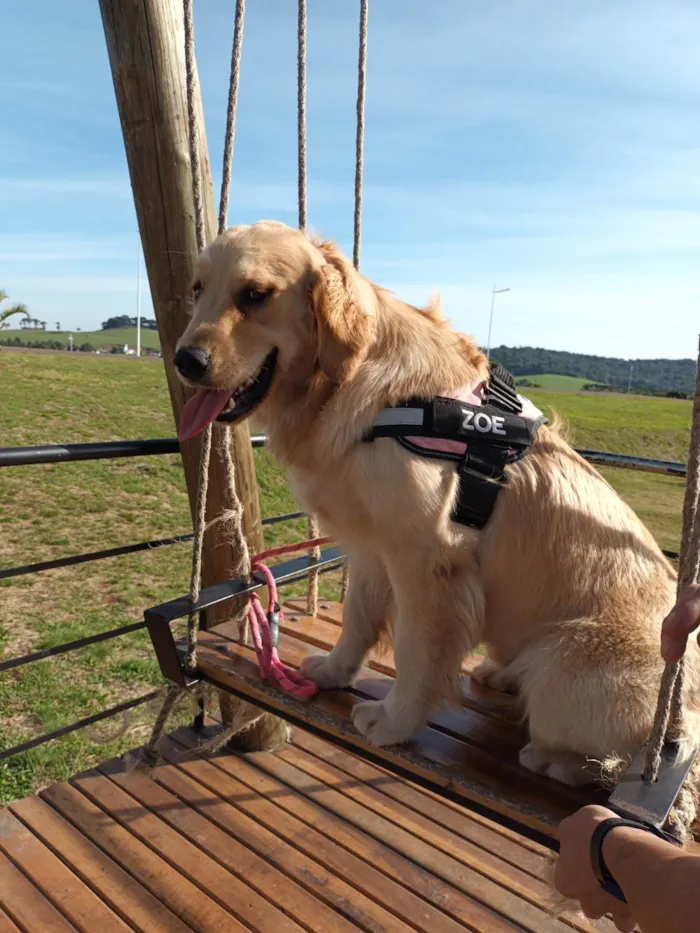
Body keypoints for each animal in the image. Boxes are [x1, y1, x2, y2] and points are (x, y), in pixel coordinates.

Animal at [175, 222, 700, 784]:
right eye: (197, 289)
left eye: (255, 294)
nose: (185, 360)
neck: (352, 386)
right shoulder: (370, 547)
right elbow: (358, 619)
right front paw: (335, 671)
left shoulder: (427, 561)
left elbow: (414, 652)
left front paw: (394, 721)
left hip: (561, 665)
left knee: (607, 761)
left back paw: (552, 757)